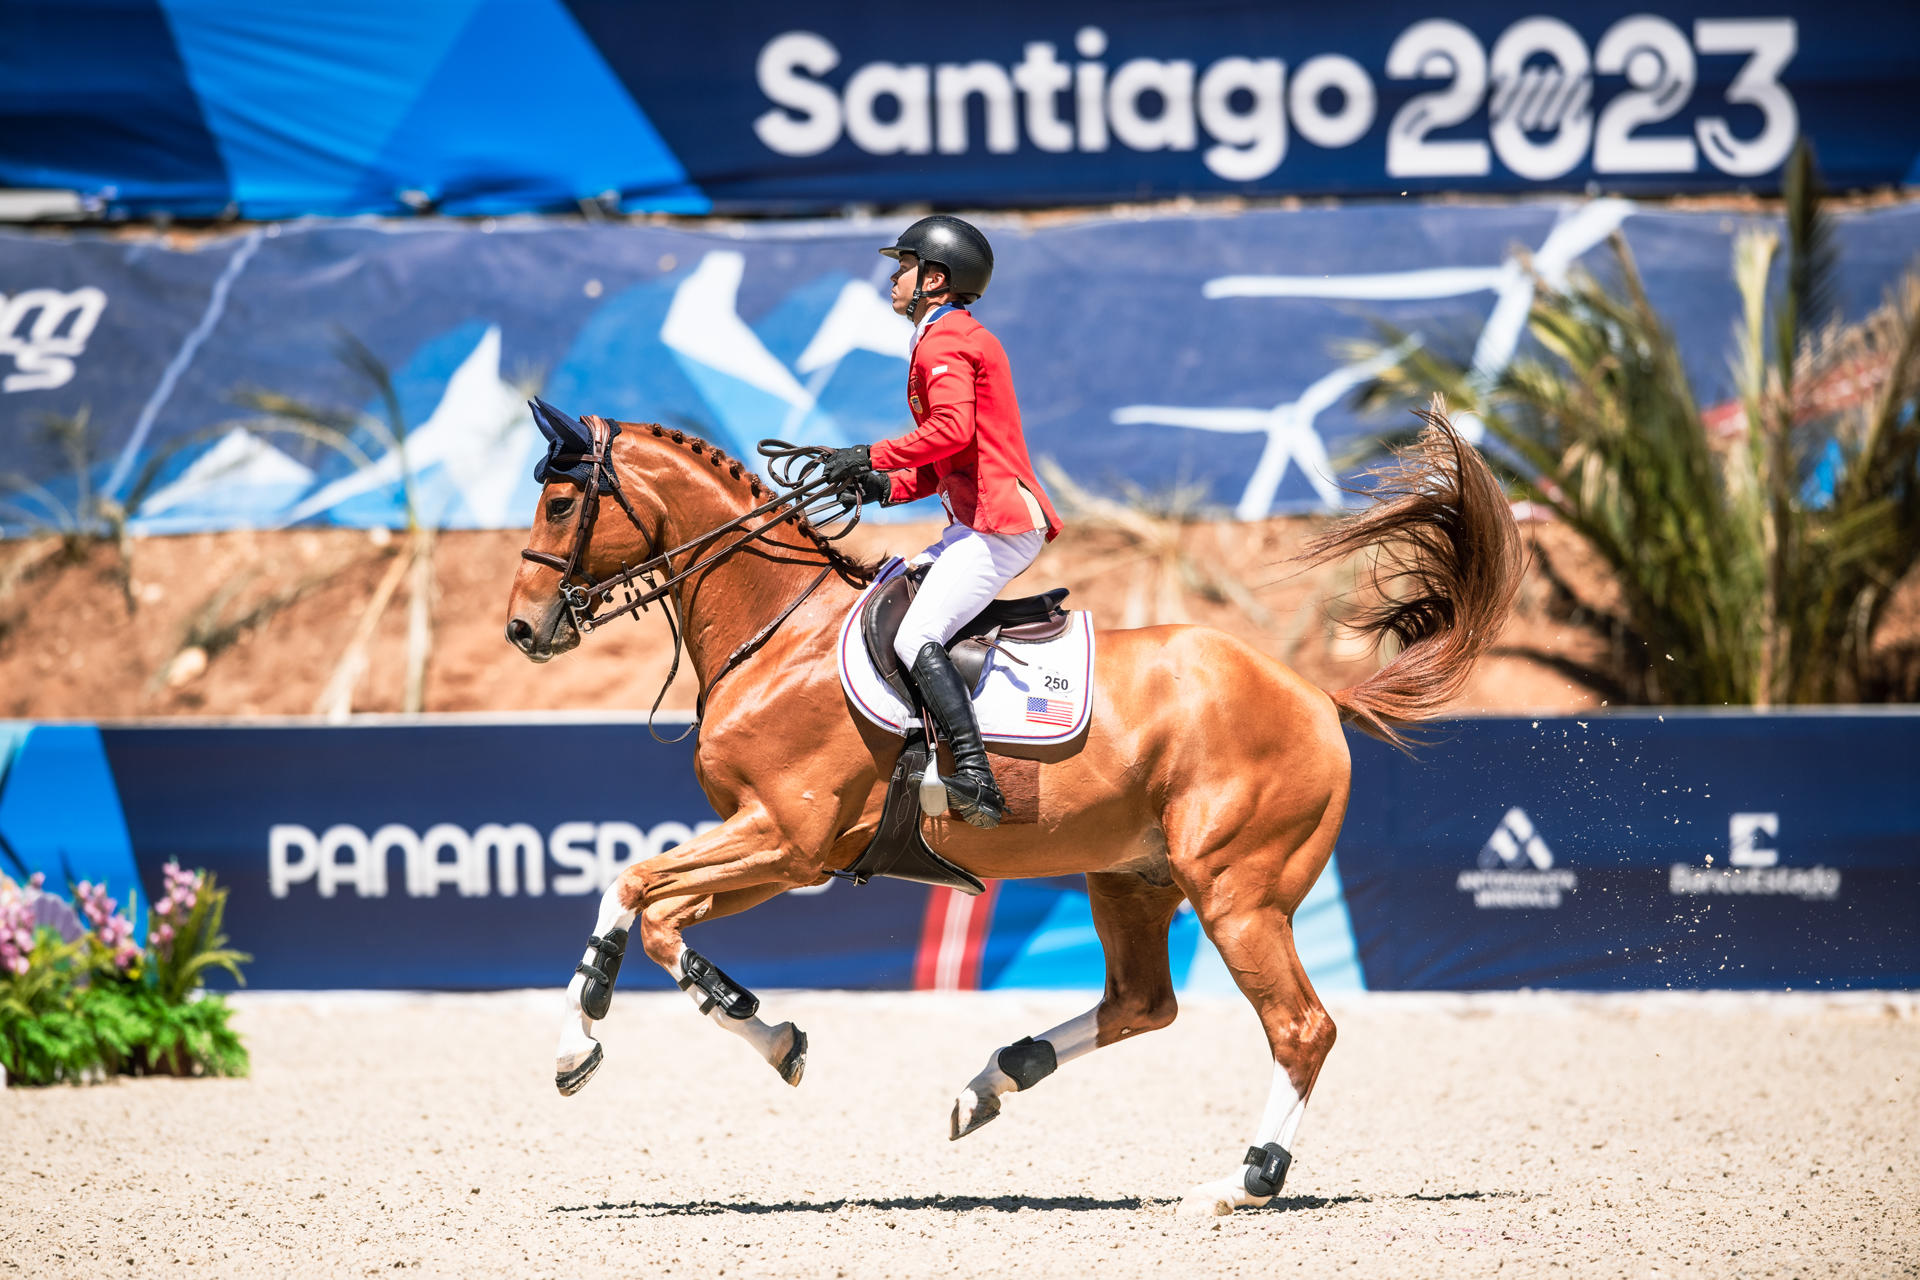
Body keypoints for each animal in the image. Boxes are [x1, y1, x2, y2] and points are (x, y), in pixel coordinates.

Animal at [503, 395, 1520, 1220]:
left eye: (559, 505)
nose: (522, 629)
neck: (778, 632)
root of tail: (1316, 695)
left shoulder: (783, 838)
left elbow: (642, 895)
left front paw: (628, 1041)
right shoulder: (790, 854)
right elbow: (645, 905)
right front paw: (710, 1032)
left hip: (1237, 892)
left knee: (1301, 1028)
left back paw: (1242, 1182)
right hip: (1132, 879)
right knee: (1144, 1003)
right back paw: (990, 1083)